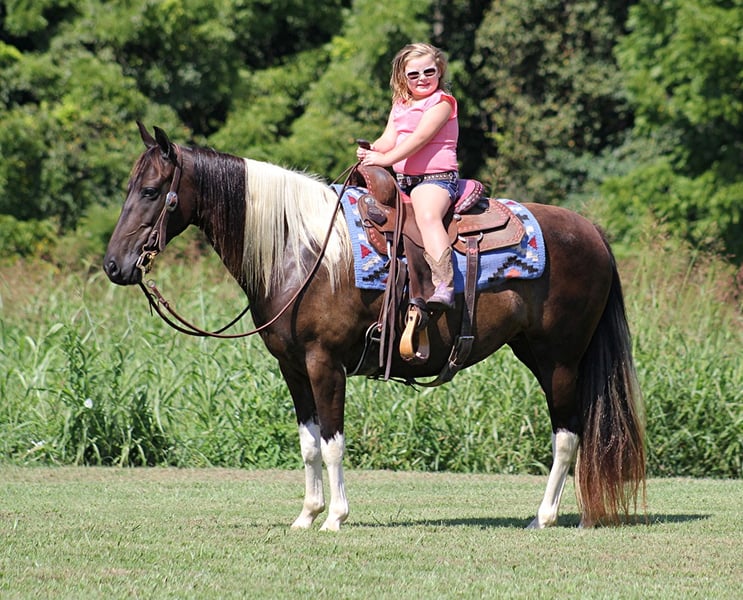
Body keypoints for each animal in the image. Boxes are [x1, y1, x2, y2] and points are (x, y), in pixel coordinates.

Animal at [103, 123, 646, 531]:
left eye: (151, 191)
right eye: (129, 188)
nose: (114, 265)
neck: (301, 251)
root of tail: (591, 231)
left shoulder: (325, 363)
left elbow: (333, 442)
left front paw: (335, 518)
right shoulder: (292, 368)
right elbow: (308, 444)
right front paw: (307, 514)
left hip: (560, 358)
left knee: (567, 434)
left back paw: (544, 516)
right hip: (533, 351)